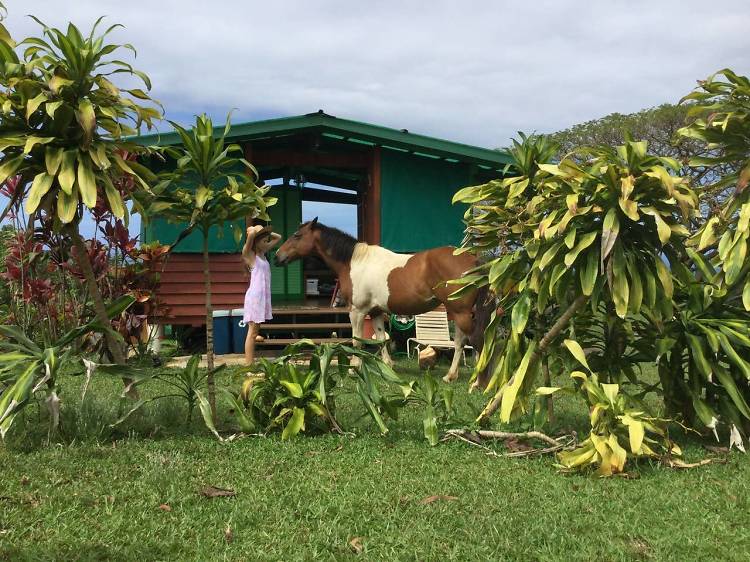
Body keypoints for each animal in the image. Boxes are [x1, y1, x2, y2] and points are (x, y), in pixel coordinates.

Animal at [274, 215, 496, 384]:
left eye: (297, 235)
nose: (277, 256)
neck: (354, 261)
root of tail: (472, 259)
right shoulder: (376, 312)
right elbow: (381, 339)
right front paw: (388, 366)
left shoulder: (357, 311)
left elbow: (357, 341)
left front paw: (355, 368)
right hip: (459, 313)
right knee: (460, 343)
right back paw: (451, 376)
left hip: (460, 313)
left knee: (476, 340)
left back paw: (478, 381)